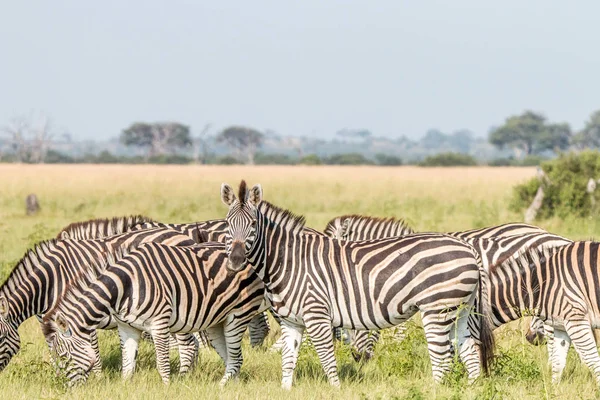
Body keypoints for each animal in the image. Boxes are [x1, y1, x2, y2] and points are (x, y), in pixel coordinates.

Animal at [41, 241, 266, 384]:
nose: (66, 388)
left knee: (236, 359)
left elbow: (162, 364)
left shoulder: (159, 323)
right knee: (232, 360)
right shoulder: (127, 327)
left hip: (238, 316)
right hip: (216, 322)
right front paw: (125, 388)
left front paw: (166, 388)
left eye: (63, 356)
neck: (125, 286)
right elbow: (127, 365)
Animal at [220, 180, 492, 388]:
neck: (288, 260)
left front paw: (336, 390)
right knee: (470, 351)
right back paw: (471, 389)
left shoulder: (317, 314)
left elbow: (327, 358)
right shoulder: (291, 321)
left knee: (443, 358)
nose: (235, 261)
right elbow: (288, 360)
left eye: (253, 225)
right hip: (460, 310)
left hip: (437, 308)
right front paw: (286, 391)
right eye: (228, 225)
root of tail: (467, 248)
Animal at [488, 242, 600, 382]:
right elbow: (558, 363)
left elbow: (593, 361)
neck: (542, 283)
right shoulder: (561, 325)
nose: (529, 337)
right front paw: (554, 388)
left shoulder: (576, 320)